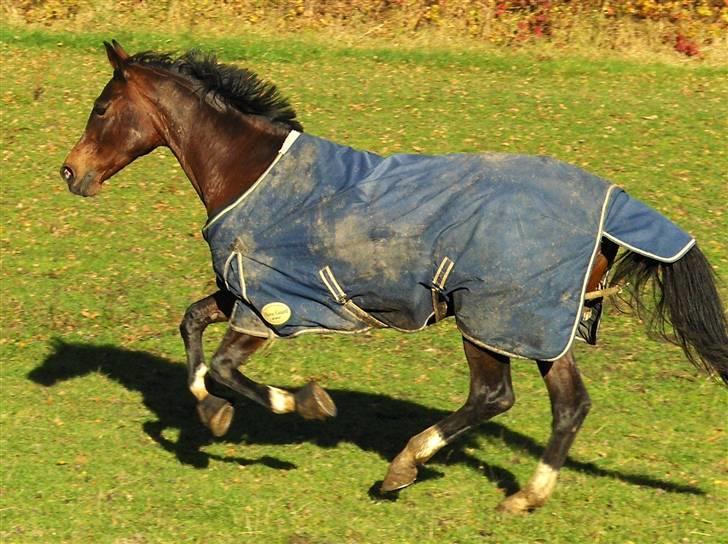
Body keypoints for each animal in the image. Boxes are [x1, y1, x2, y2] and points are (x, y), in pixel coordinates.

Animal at [59, 42, 724, 516]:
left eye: (101, 108)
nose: (70, 172)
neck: (252, 172)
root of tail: (610, 210)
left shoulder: (268, 306)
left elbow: (226, 366)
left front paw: (305, 402)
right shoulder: (242, 294)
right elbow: (191, 323)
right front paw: (211, 412)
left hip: (488, 317)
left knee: (494, 396)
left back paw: (403, 467)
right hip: (538, 324)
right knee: (568, 405)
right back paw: (523, 496)